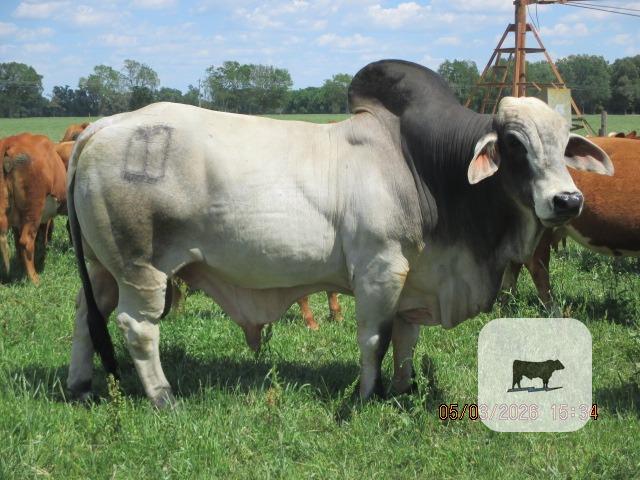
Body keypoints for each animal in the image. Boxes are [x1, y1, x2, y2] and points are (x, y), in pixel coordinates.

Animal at [65, 60, 612, 407]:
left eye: (565, 143)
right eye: (515, 145)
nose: (567, 201)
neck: (424, 169)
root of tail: (104, 126)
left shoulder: (416, 279)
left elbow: (406, 339)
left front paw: (402, 389)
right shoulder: (380, 269)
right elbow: (376, 338)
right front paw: (368, 395)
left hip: (102, 266)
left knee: (86, 313)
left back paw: (80, 385)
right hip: (141, 268)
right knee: (137, 327)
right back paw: (164, 398)